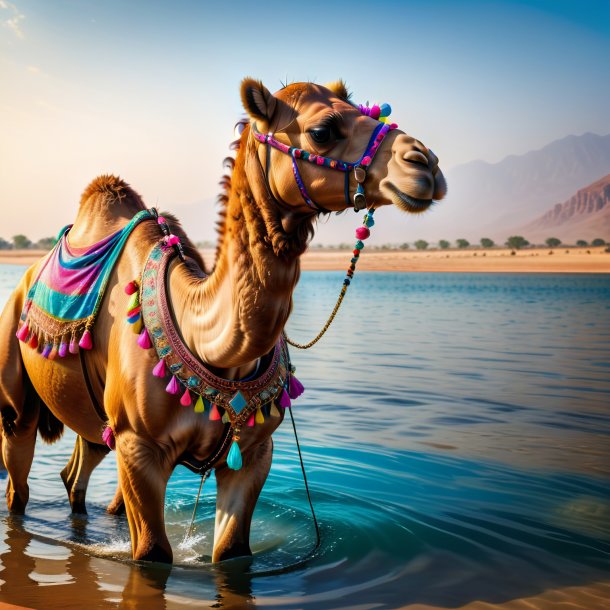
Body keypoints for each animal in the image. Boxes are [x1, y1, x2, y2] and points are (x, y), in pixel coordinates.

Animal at [0, 78, 446, 564]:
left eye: (376, 111)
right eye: (322, 130)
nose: (425, 164)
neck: (205, 340)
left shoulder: (254, 452)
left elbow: (232, 552)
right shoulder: (139, 445)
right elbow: (152, 554)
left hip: (96, 420)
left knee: (78, 471)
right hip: (16, 388)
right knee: (18, 480)